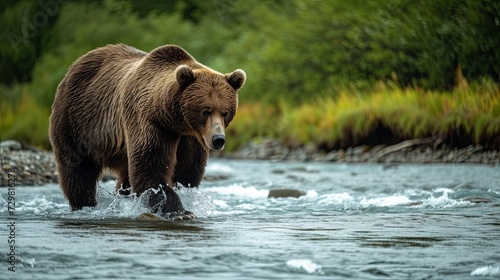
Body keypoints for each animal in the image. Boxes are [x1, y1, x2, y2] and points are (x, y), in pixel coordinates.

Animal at [49, 43, 246, 219]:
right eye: (206, 111)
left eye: (225, 112)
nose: (218, 139)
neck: (174, 120)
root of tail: (76, 64)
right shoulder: (149, 122)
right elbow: (150, 166)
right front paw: (181, 212)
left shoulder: (192, 138)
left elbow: (187, 172)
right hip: (77, 120)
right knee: (77, 169)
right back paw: (85, 204)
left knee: (125, 173)